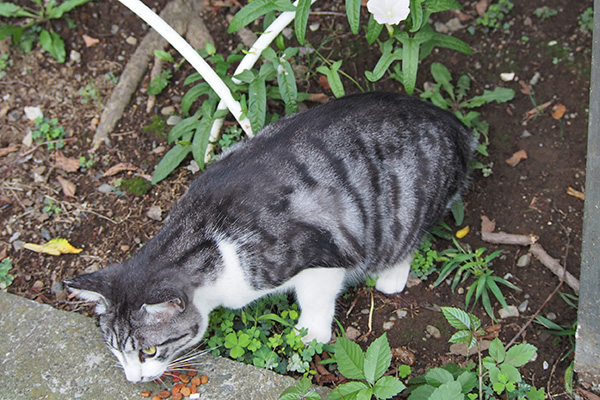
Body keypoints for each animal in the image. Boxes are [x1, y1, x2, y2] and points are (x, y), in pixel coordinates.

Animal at [65, 92, 476, 382]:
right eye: (116, 350)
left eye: (148, 352)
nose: (133, 379)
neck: (208, 239)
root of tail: (454, 123)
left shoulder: (321, 255)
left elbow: (316, 297)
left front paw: (310, 334)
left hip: (406, 209)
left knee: (408, 239)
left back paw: (391, 275)